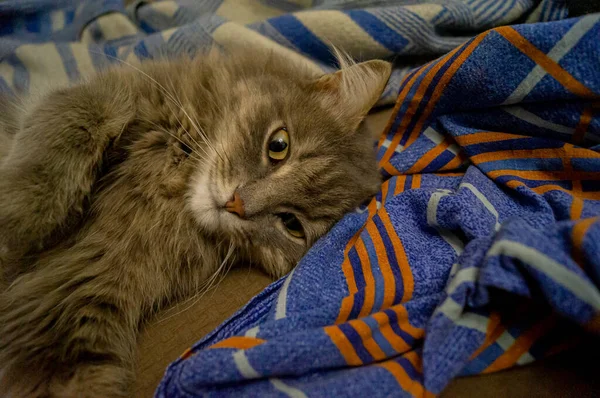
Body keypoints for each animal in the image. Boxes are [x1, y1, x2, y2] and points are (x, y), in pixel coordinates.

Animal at [0, 50, 392, 398]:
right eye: (279, 146)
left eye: (291, 224)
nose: (237, 203)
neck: (173, 193)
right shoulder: (108, 95)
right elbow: (75, 125)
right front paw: (22, 220)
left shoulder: (76, 308)